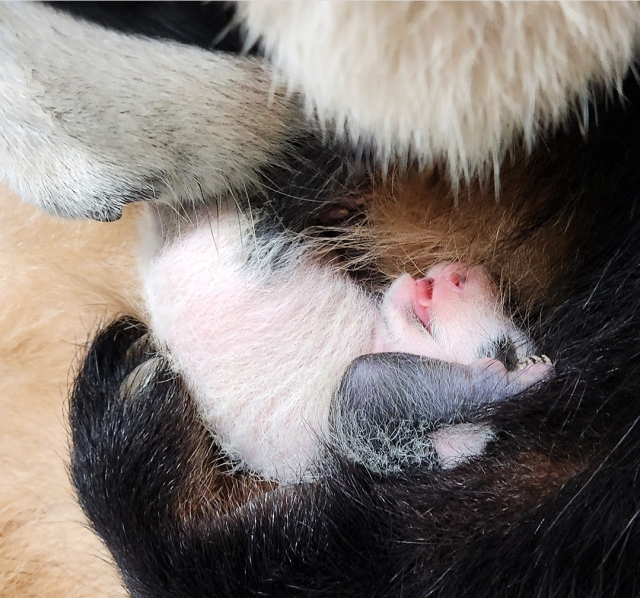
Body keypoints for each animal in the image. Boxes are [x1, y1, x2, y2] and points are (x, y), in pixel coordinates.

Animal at [142, 205, 552, 482]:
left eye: (506, 352)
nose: (465, 273)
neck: (377, 335)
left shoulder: (384, 448)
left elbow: (366, 387)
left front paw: (511, 381)